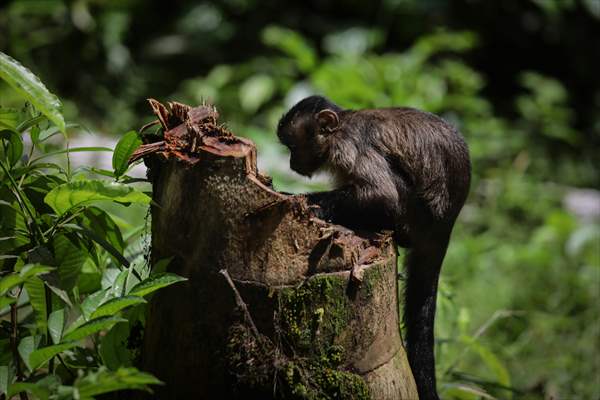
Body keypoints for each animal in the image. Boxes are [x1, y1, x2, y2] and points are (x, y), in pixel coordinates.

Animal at [278, 95, 474, 398]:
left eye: (293, 147)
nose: (290, 162)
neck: (342, 125)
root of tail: (446, 227)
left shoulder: (348, 145)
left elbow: (382, 195)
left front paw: (304, 200)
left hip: (417, 217)